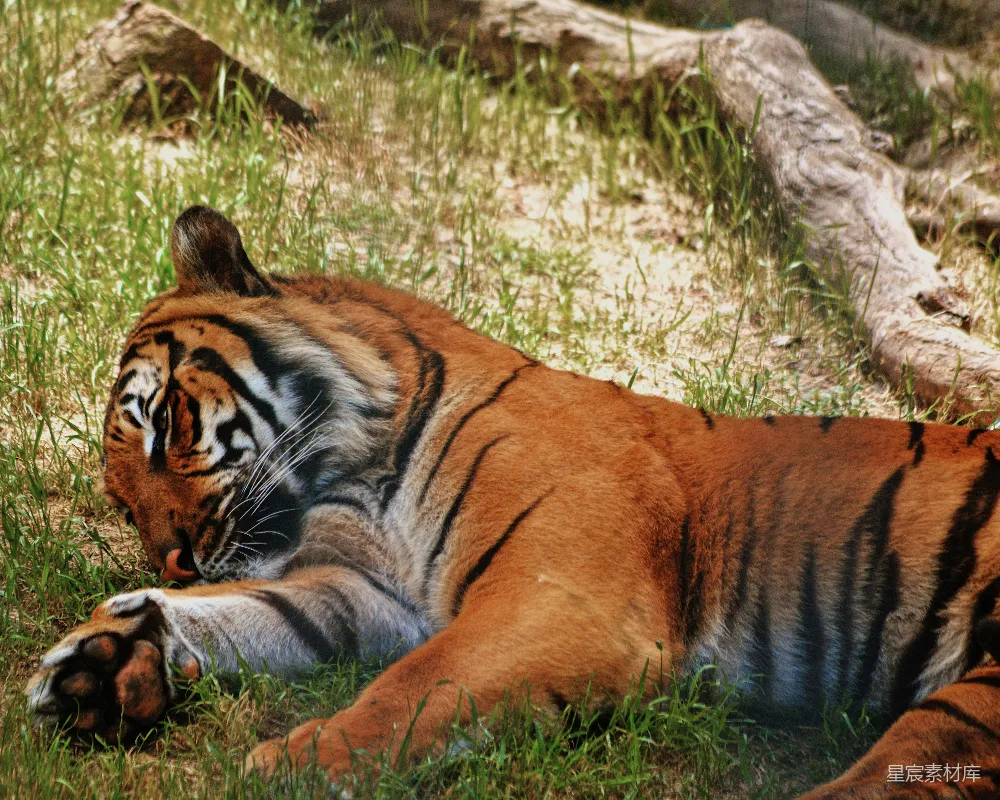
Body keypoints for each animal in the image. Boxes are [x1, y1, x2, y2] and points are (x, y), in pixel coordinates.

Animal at [24, 204, 1000, 798]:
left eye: (165, 422)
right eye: (121, 503)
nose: (175, 555)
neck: (353, 479)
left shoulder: (562, 595)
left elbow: (414, 688)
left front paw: (296, 761)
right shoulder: (368, 595)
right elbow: (252, 615)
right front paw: (108, 659)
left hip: (970, 699)